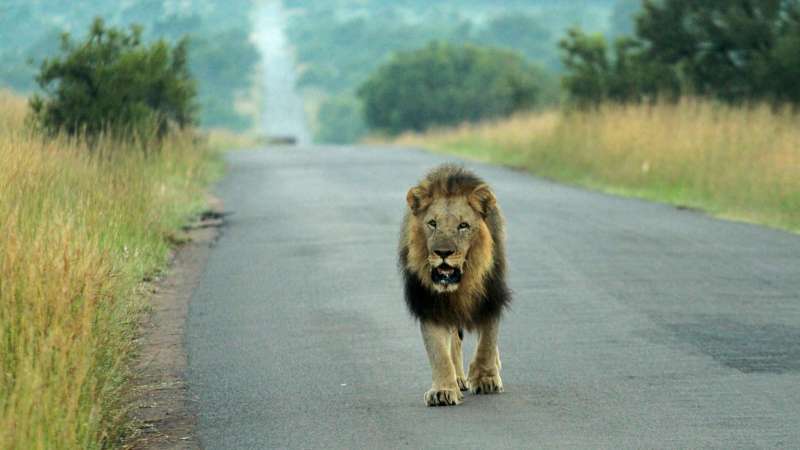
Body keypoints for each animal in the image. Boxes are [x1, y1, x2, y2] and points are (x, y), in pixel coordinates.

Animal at [399, 164, 511, 406]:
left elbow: (488, 339)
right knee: (454, 341)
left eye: (463, 226)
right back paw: (458, 378)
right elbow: (438, 351)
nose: (443, 253)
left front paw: (486, 378)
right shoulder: (428, 303)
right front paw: (443, 390)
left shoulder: (491, 296)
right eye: (432, 224)